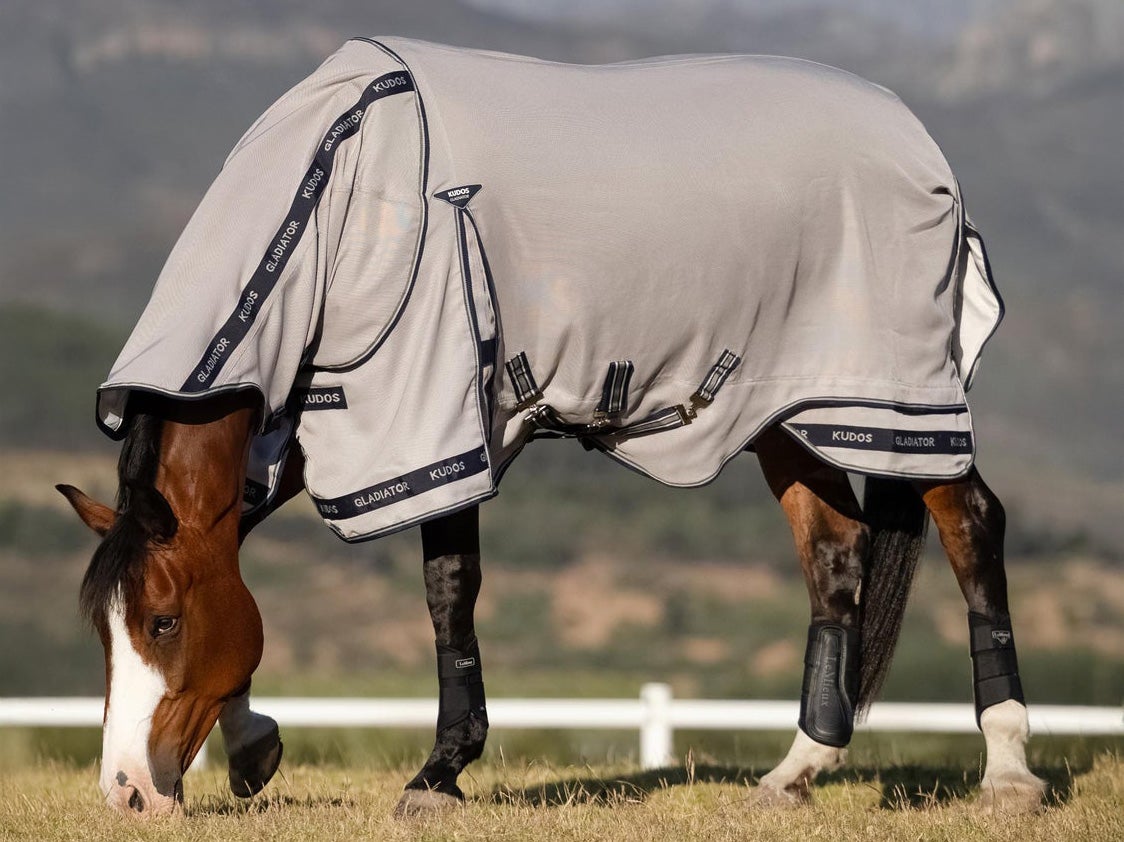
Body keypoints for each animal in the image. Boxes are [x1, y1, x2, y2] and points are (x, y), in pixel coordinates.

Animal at [58, 37, 1045, 817]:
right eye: (102, 631)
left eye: (162, 622)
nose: (128, 793)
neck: (340, 197)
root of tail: (913, 134)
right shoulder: (314, 425)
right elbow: (238, 549)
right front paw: (255, 743)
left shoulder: (430, 415)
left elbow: (449, 590)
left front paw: (439, 773)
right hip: (793, 414)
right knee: (838, 560)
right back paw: (797, 771)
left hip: (903, 401)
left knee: (972, 527)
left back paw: (1008, 771)